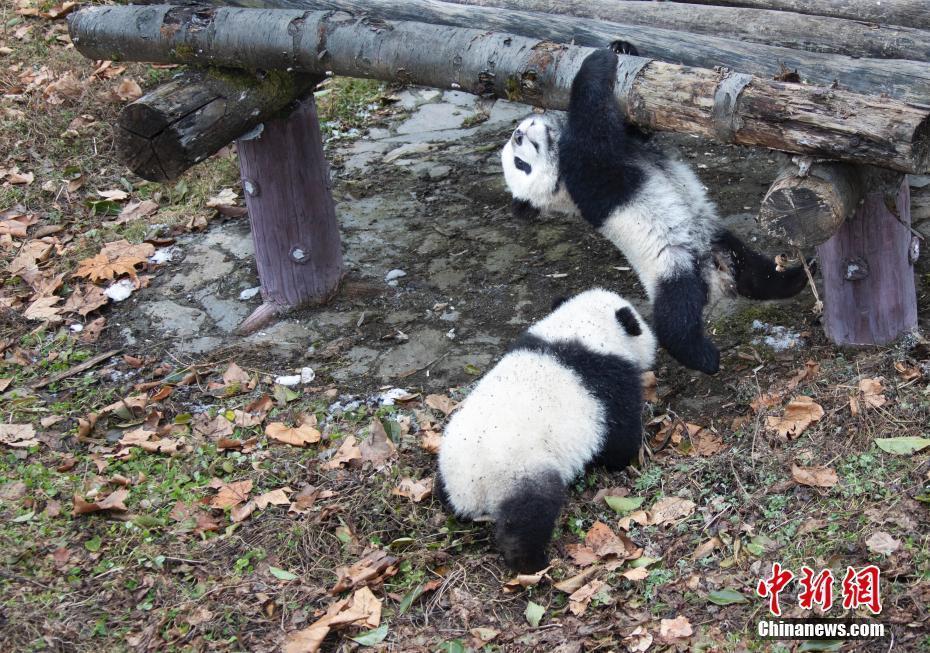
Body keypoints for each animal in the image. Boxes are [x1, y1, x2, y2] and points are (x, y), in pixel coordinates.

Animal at [436, 290, 652, 572]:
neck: (579, 328)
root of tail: (469, 490)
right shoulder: (610, 384)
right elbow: (620, 436)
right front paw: (626, 457)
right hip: (519, 471)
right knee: (529, 516)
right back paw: (531, 562)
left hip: (449, 459)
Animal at [500, 44, 804, 372]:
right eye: (521, 164)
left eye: (517, 157)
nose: (518, 134)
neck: (558, 188)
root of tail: (715, 277)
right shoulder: (589, 184)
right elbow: (595, 140)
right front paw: (596, 63)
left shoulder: (628, 149)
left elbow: (636, 130)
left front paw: (621, 47)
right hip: (670, 265)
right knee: (676, 316)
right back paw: (704, 357)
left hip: (717, 240)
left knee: (757, 274)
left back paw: (798, 276)